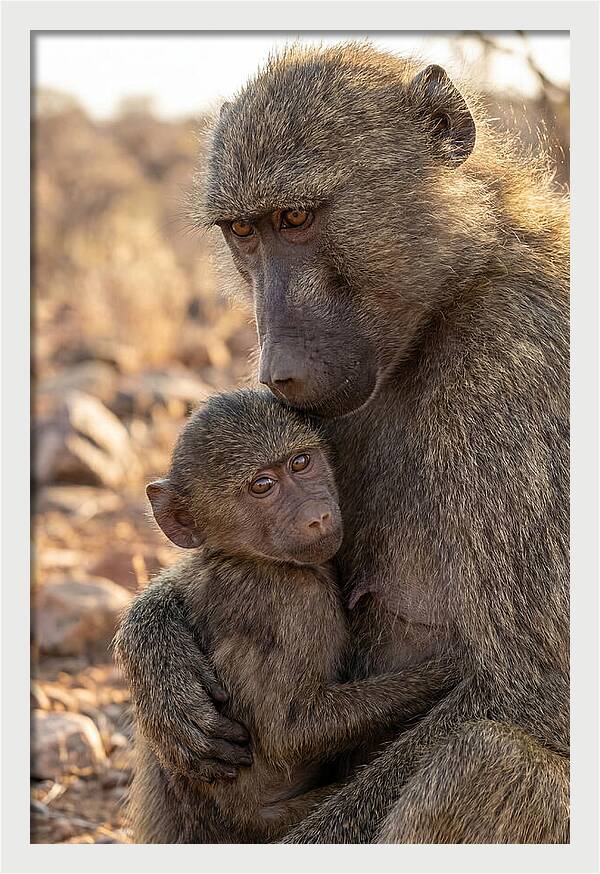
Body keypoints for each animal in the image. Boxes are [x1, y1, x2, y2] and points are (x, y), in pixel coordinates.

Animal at [117, 388, 457, 843]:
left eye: (301, 463)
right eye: (262, 486)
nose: (318, 516)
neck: (248, 557)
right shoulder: (296, 601)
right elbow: (291, 732)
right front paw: (449, 671)